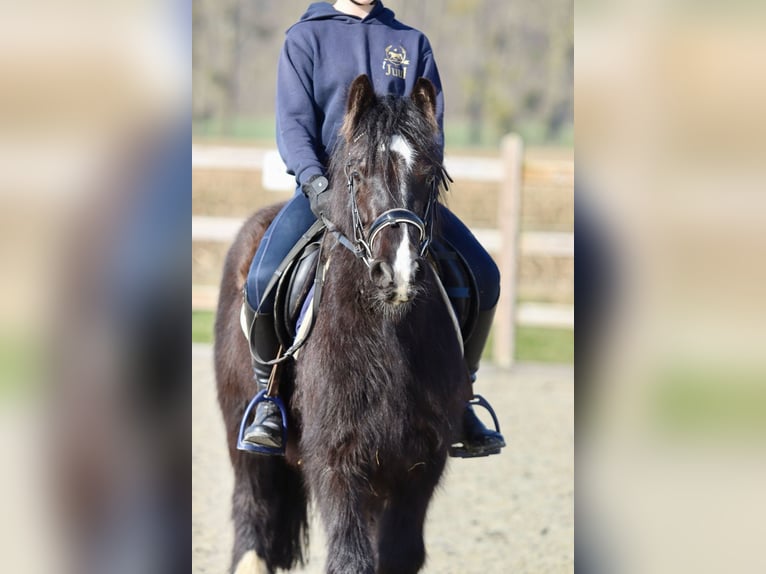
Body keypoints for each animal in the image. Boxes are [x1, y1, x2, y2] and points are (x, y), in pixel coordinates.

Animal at [213, 76, 472, 574]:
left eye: (429, 175)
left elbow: (397, 555)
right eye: (356, 173)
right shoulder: (337, 459)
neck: (387, 334)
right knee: (251, 521)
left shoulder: (419, 466)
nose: (398, 273)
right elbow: (350, 559)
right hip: (247, 442)